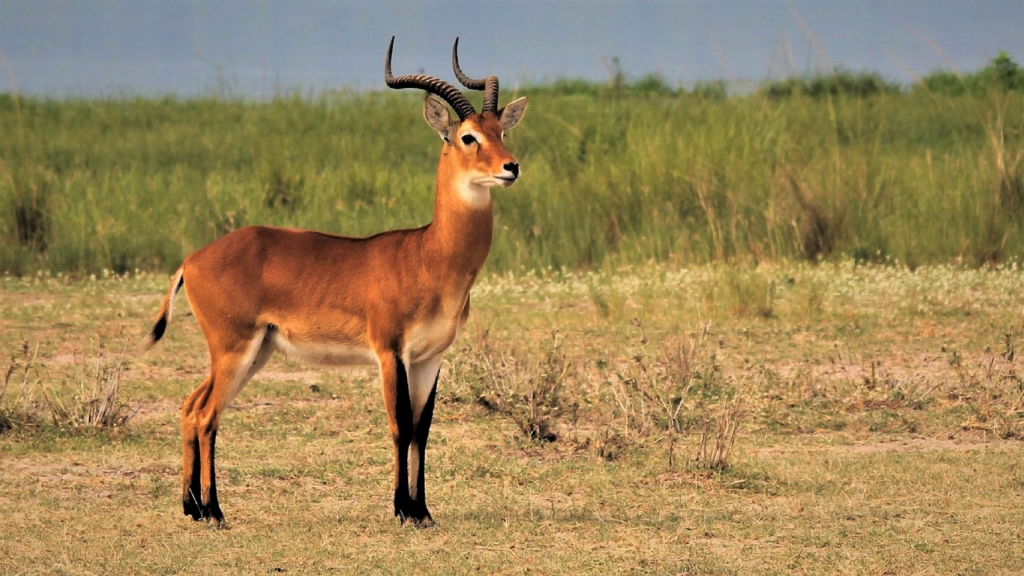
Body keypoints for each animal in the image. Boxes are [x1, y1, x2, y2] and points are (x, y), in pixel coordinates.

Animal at [144, 37, 528, 527]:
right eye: (468, 137)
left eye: (501, 131)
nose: (510, 167)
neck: (429, 255)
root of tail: (191, 259)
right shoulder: (390, 352)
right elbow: (400, 424)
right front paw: (401, 510)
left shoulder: (430, 357)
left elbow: (422, 429)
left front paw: (423, 511)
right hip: (233, 349)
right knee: (208, 414)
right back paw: (213, 511)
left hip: (254, 352)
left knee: (192, 406)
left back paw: (191, 507)